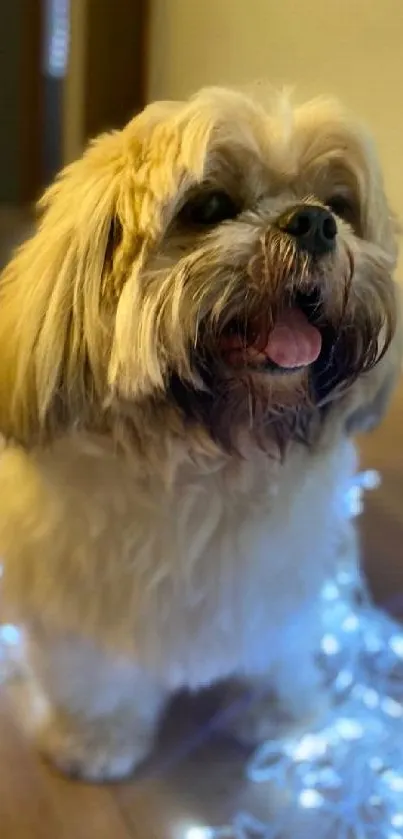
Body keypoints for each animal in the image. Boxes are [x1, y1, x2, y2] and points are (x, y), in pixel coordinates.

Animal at [0, 87, 400, 780]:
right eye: (210, 206)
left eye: (338, 204)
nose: (314, 222)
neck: (210, 463)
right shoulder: (74, 610)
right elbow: (95, 679)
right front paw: (98, 738)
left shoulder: (284, 590)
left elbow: (281, 656)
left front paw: (284, 717)